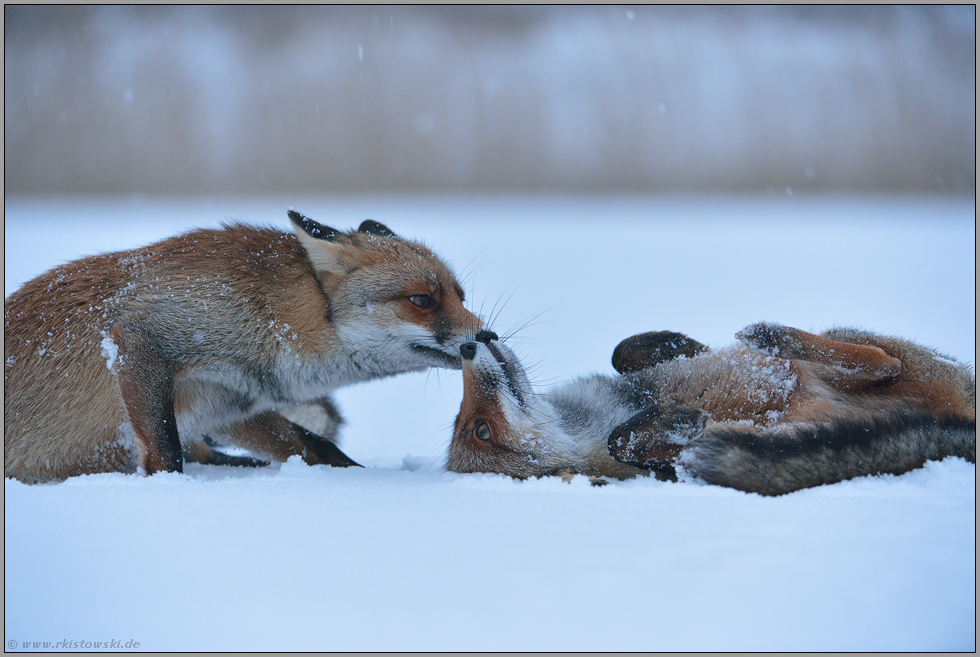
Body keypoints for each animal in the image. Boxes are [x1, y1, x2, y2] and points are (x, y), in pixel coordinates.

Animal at [2, 210, 486, 482]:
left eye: (461, 297)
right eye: (422, 300)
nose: (487, 338)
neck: (268, 316)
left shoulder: (225, 402)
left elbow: (317, 446)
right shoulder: (142, 338)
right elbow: (166, 454)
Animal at [450, 322, 972, 492]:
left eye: (467, 423)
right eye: (480, 430)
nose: (469, 347)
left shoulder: (635, 378)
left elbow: (625, 351)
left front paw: (679, 343)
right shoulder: (646, 464)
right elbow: (622, 443)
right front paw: (679, 421)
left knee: (880, 359)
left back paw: (771, 337)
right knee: (882, 362)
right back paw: (771, 335)